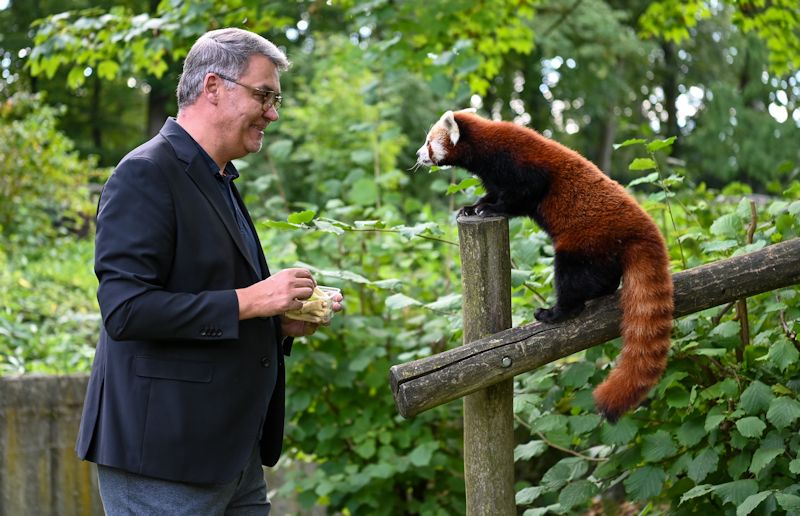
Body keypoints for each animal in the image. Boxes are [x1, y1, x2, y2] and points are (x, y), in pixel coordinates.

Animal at [418, 110, 676, 424]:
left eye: (429, 142)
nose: (418, 155)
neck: (484, 150)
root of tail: (645, 232)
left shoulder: (518, 164)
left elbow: (525, 191)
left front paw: (490, 209)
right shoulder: (494, 178)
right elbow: (493, 194)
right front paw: (472, 206)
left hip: (584, 242)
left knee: (572, 279)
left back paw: (556, 312)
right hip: (604, 251)